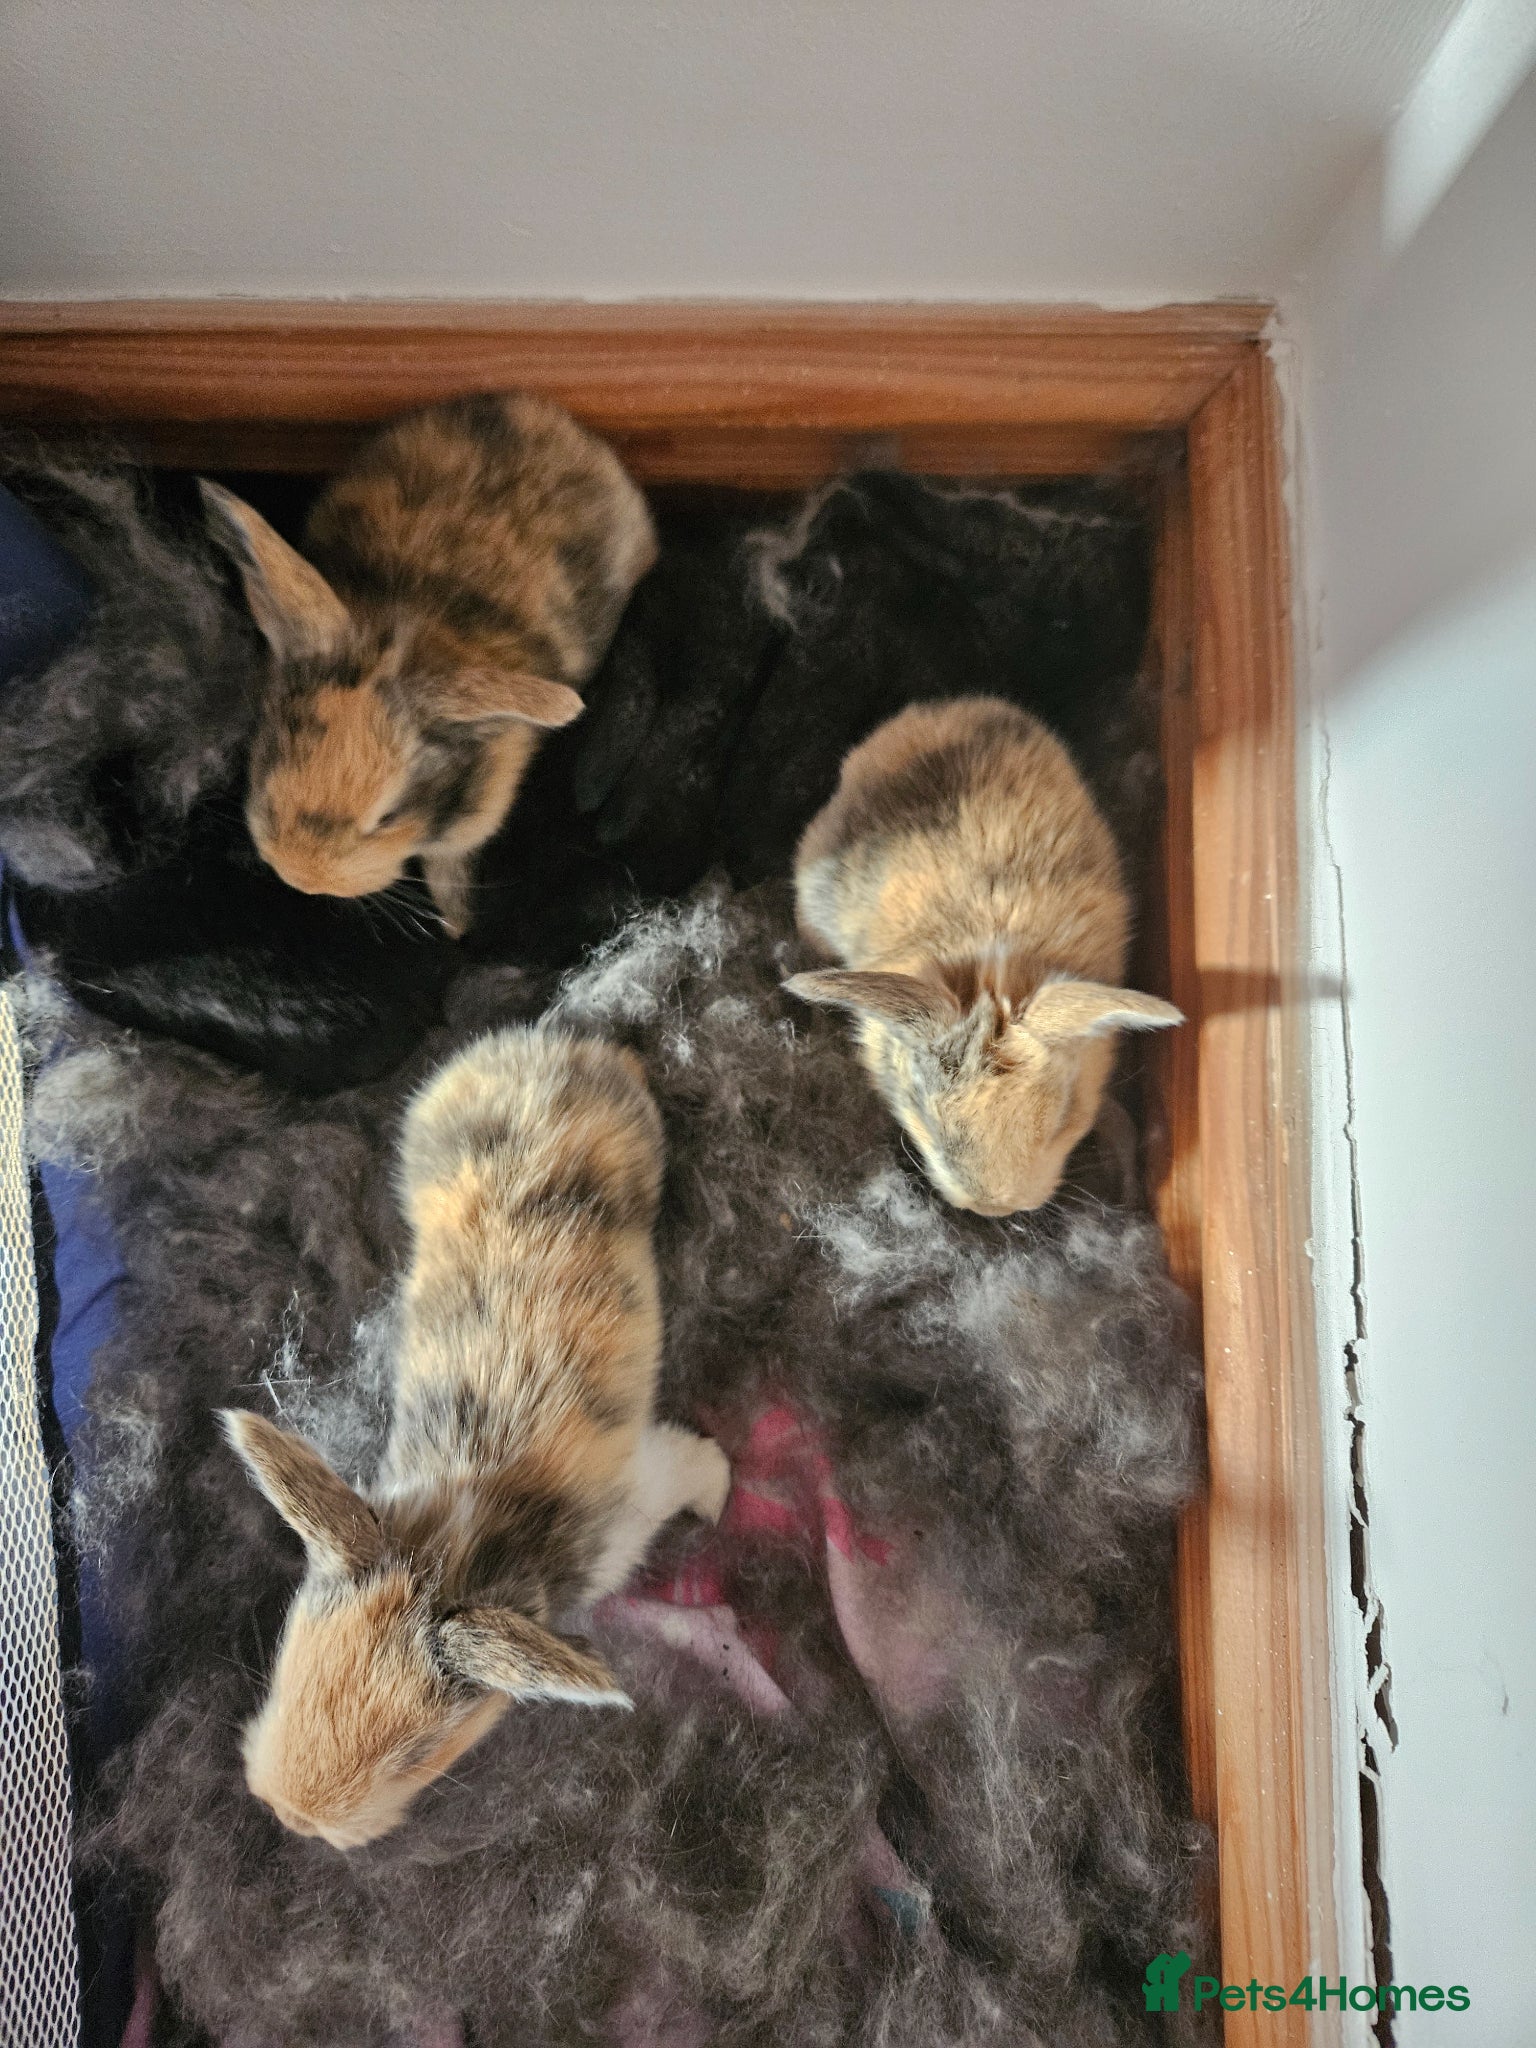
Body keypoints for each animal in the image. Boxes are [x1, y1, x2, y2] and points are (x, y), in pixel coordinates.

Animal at [222, 1026, 730, 1849]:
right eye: (289, 1656)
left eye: (419, 1753)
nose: (292, 1817)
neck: (457, 1544)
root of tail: (554, 1049)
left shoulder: (639, 1495)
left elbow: (692, 1463)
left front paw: (719, 1500)